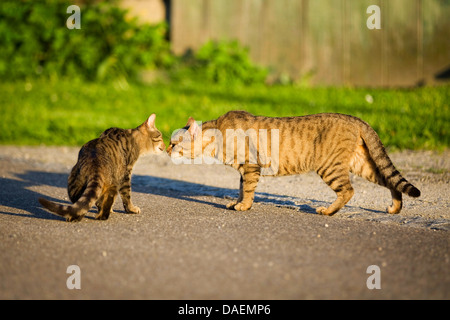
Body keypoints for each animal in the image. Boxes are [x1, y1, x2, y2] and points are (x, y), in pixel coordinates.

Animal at [167, 111, 420, 216]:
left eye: (174, 142)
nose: (166, 150)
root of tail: (357, 119)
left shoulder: (251, 166)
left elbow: (247, 190)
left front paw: (243, 206)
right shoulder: (244, 170)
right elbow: (240, 189)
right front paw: (236, 203)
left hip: (329, 166)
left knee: (348, 190)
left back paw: (328, 211)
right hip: (362, 163)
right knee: (390, 180)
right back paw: (394, 208)